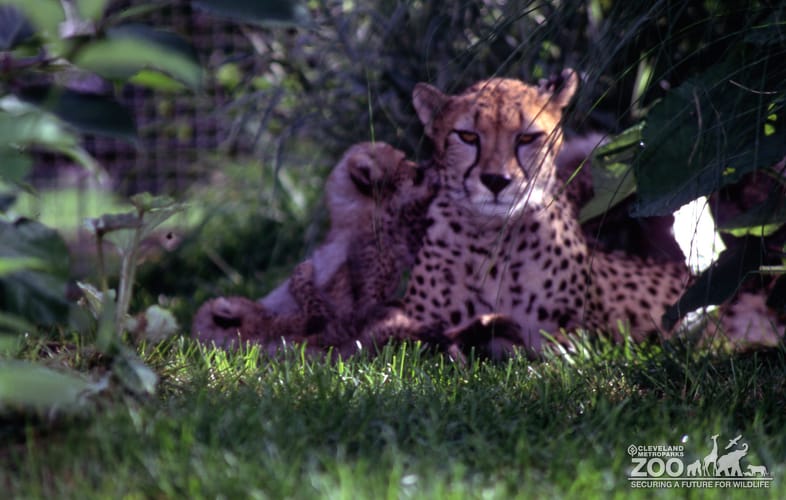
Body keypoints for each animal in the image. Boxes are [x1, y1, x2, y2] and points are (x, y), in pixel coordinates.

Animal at [403, 71, 691, 357]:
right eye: (468, 136)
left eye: (527, 138)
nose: (496, 180)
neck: (493, 238)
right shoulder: (412, 325)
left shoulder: (584, 336)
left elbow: (560, 353)